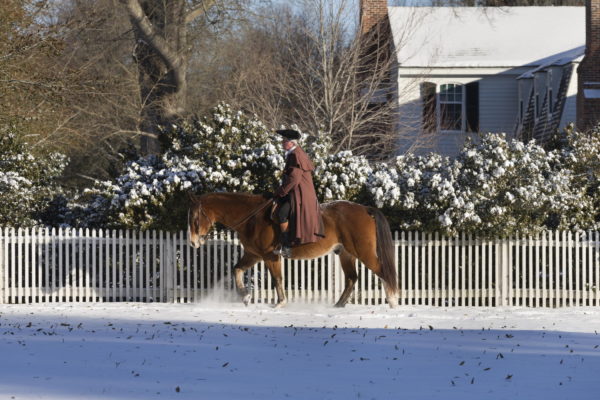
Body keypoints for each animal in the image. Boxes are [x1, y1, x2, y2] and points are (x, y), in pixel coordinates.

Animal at [188, 192, 398, 308]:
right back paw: (338, 305)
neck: (252, 216)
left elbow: (277, 279)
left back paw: (393, 301)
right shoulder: (253, 255)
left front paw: (280, 302)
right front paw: (245, 296)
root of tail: (364, 209)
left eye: (195, 218)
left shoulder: (269, 256)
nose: (193, 243)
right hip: (346, 254)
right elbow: (236, 269)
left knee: (383, 272)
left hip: (364, 252)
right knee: (352, 279)